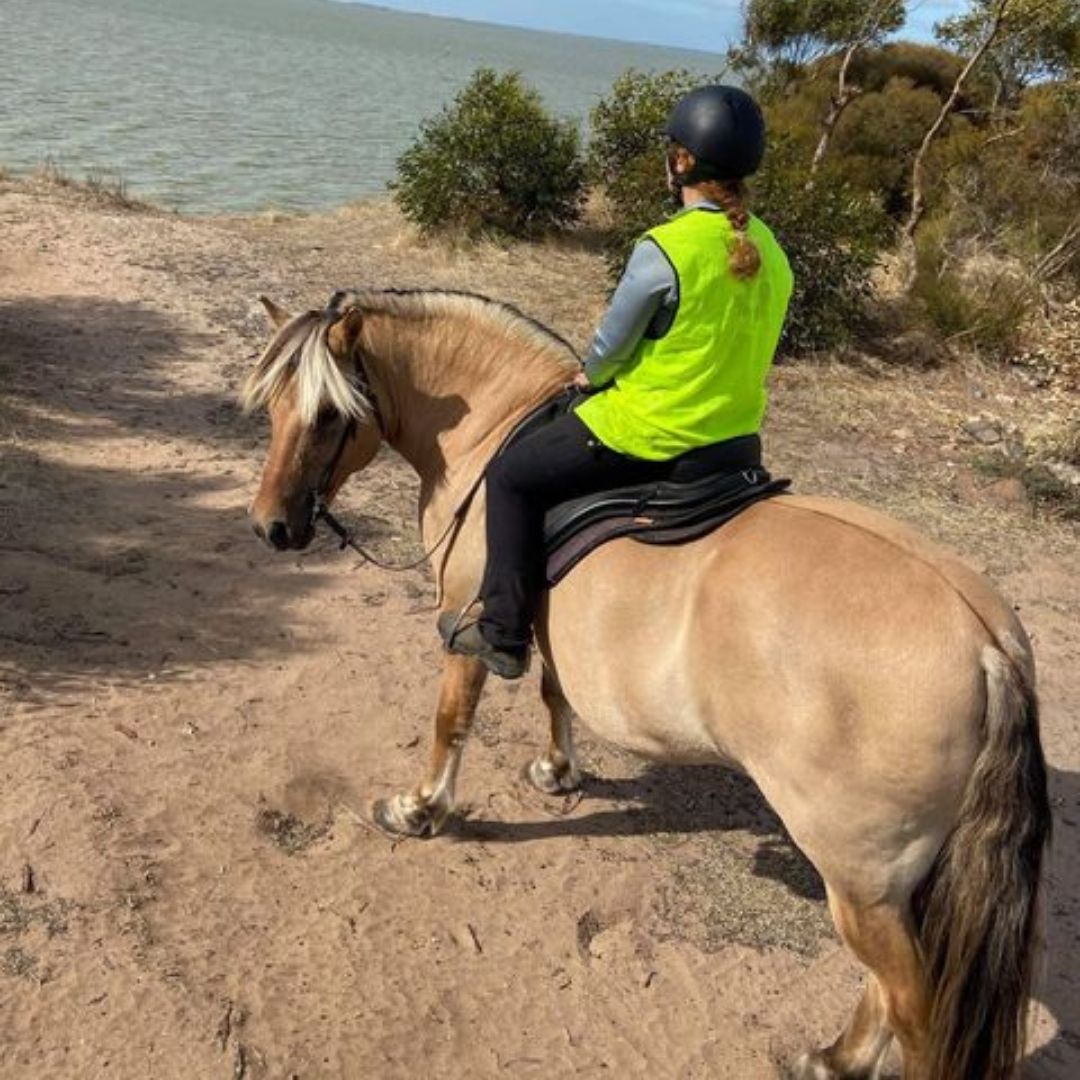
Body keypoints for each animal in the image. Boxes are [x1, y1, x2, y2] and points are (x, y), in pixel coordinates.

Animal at [241, 287, 1050, 1080]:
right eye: (273, 405)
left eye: (328, 415)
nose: (271, 528)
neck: (495, 424)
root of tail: (986, 640)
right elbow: (555, 695)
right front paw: (558, 771)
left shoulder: (464, 622)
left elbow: (451, 720)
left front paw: (419, 810)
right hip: (889, 887)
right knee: (885, 989)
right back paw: (836, 1059)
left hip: (861, 881)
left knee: (910, 1004)